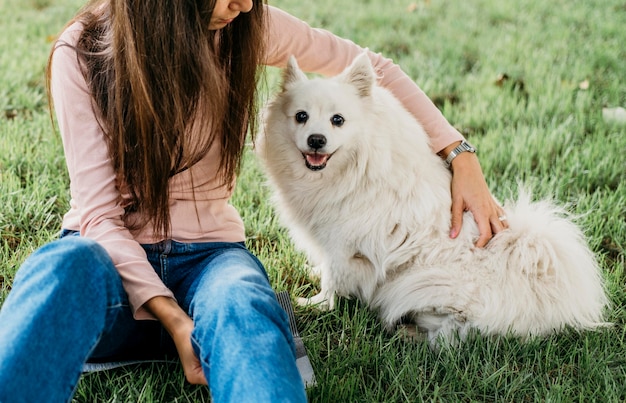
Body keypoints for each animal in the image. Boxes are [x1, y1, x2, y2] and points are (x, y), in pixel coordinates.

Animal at [254, 52, 604, 344]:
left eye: (337, 120)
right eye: (301, 116)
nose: (316, 140)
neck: (352, 168)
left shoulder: (342, 244)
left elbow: (332, 280)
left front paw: (315, 305)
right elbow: (326, 269)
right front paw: (314, 277)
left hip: (423, 285)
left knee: (455, 333)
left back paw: (409, 333)